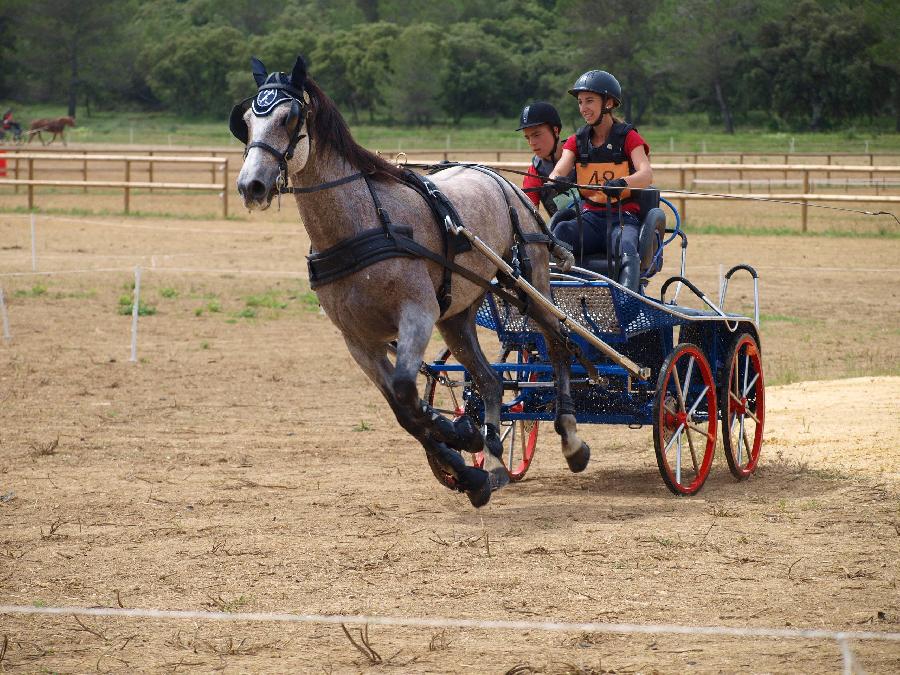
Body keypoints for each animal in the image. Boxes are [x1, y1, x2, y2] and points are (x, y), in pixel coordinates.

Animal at [234, 58, 592, 508]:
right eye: (246, 121)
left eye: (288, 118)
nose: (251, 185)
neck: (363, 225)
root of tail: (498, 177)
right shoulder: (359, 342)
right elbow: (405, 410)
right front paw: (466, 461)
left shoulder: (416, 315)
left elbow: (407, 391)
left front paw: (461, 436)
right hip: (457, 315)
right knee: (490, 380)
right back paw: (493, 464)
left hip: (531, 285)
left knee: (558, 342)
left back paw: (571, 440)